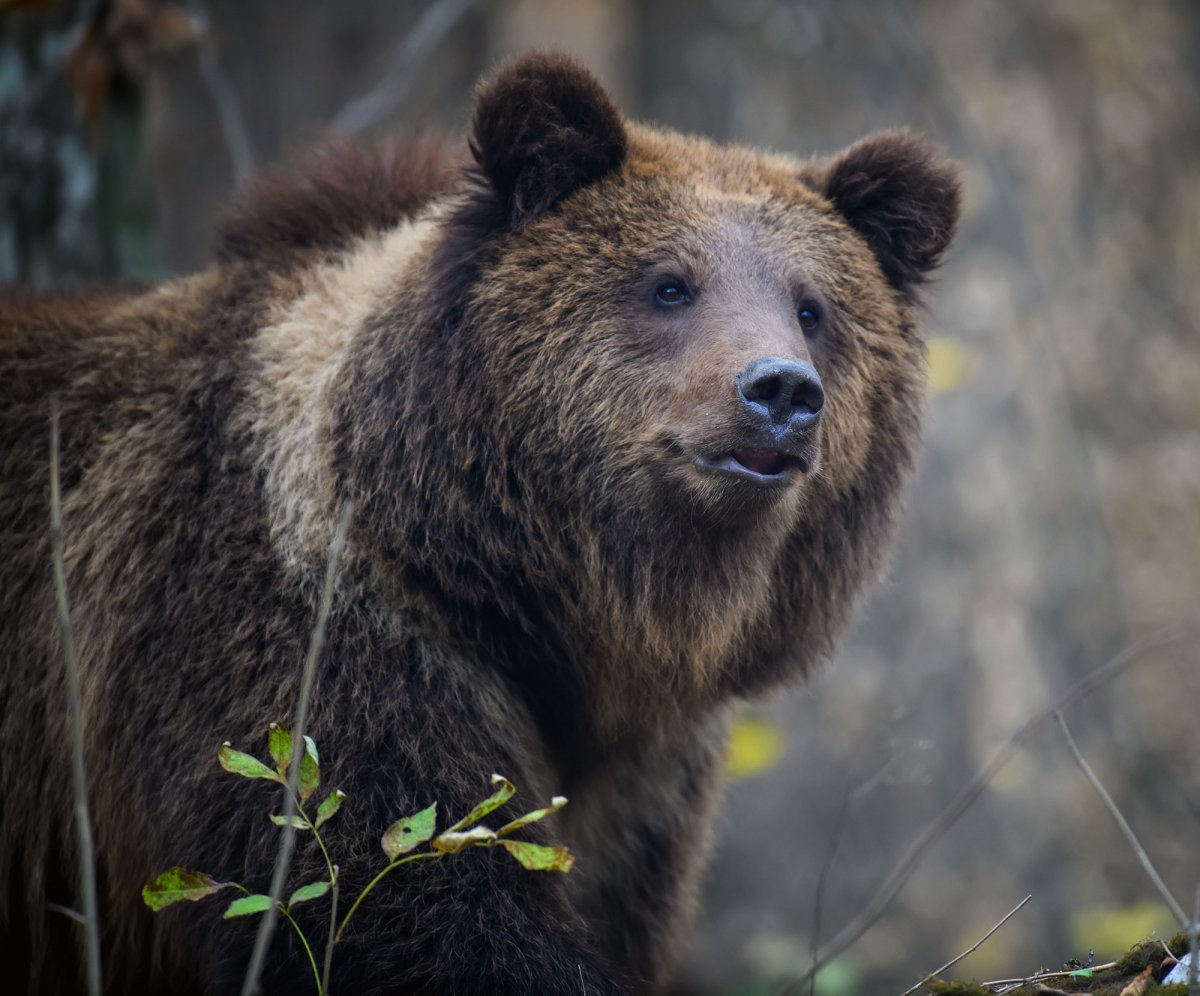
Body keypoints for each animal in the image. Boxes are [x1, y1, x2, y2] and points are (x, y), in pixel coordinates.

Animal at [0, 54, 955, 996]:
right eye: (670, 284)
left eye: (812, 307)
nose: (780, 390)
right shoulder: (306, 650)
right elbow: (409, 900)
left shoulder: (642, 780)